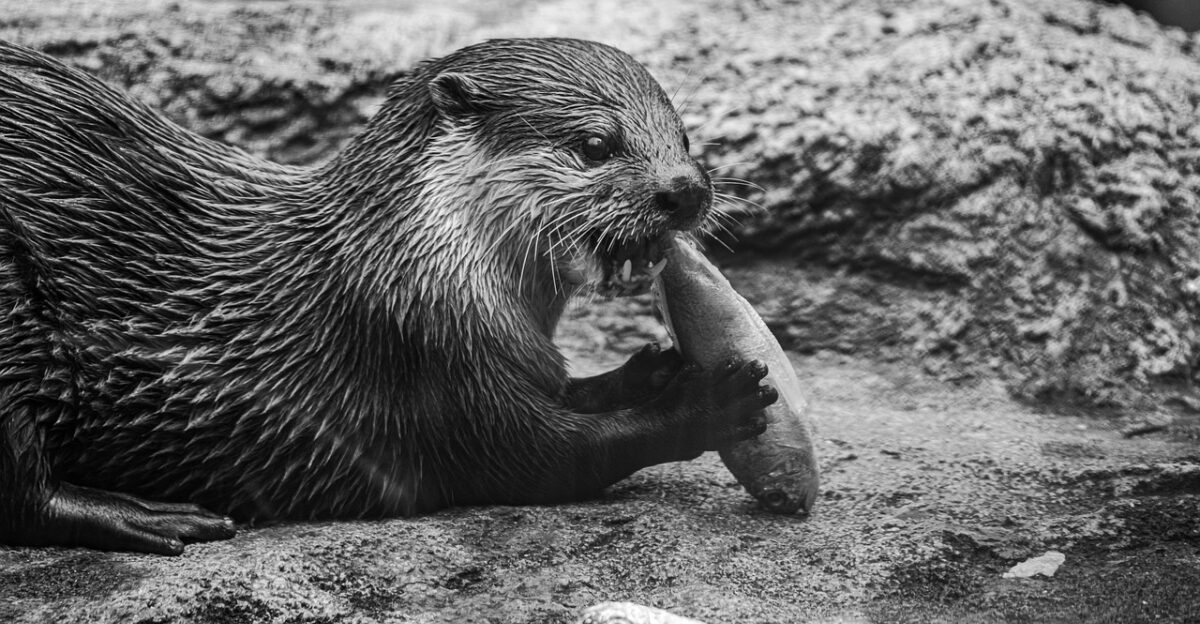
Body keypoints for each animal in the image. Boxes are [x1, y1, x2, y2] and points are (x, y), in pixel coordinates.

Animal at [0, 38, 776, 555]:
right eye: (595, 144)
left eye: (685, 137)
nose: (685, 190)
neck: (406, 259)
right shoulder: (417, 348)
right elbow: (544, 455)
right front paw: (712, 400)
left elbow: (567, 393)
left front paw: (649, 368)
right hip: (9, 314)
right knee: (22, 491)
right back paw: (151, 516)